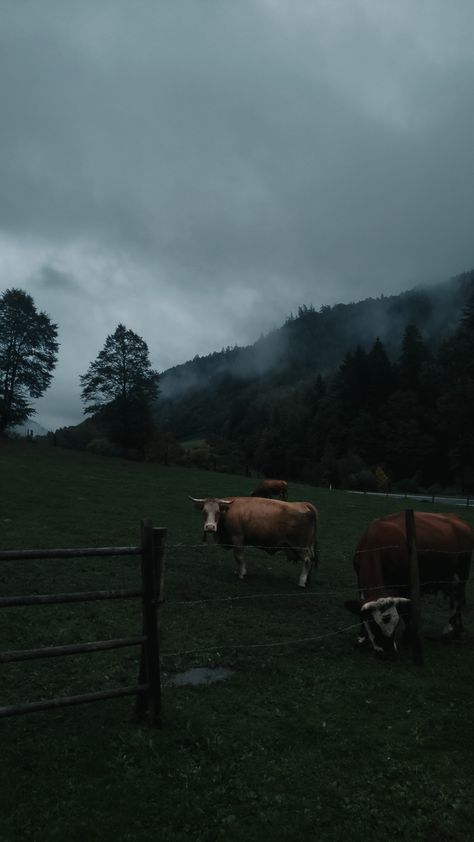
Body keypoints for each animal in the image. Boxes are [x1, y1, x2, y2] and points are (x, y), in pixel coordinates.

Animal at [189, 492, 318, 584]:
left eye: (218, 512)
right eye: (204, 511)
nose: (210, 527)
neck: (228, 511)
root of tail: (303, 504)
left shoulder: (237, 538)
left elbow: (239, 556)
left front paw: (242, 573)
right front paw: (238, 571)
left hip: (300, 545)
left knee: (307, 560)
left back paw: (302, 582)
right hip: (308, 546)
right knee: (312, 559)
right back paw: (308, 580)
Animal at [344, 508, 474, 652]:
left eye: (395, 623)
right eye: (374, 625)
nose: (389, 652)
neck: (376, 539)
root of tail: (457, 519)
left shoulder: (405, 584)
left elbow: (406, 611)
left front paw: (408, 637)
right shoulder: (359, 579)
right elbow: (361, 608)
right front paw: (361, 638)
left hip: (461, 573)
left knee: (457, 600)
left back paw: (448, 631)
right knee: (455, 599)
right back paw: (457, 630)